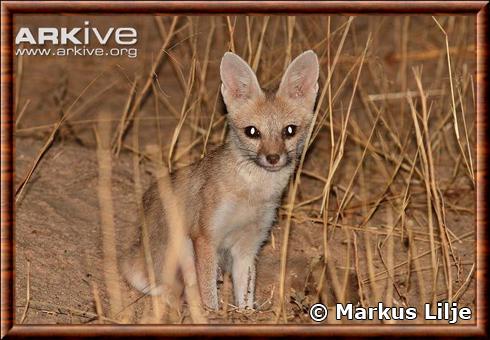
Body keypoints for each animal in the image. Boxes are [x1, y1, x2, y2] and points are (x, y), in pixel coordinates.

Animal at [122, 49, 320, 310]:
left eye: (289, 130)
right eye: (252, 132)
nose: (273, 158)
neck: (251, 195)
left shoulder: (248, 246)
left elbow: (245, 295)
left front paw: (245, 313)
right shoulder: (206, 237)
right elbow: (209, 297)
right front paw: (212, 313)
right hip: (182, 248)